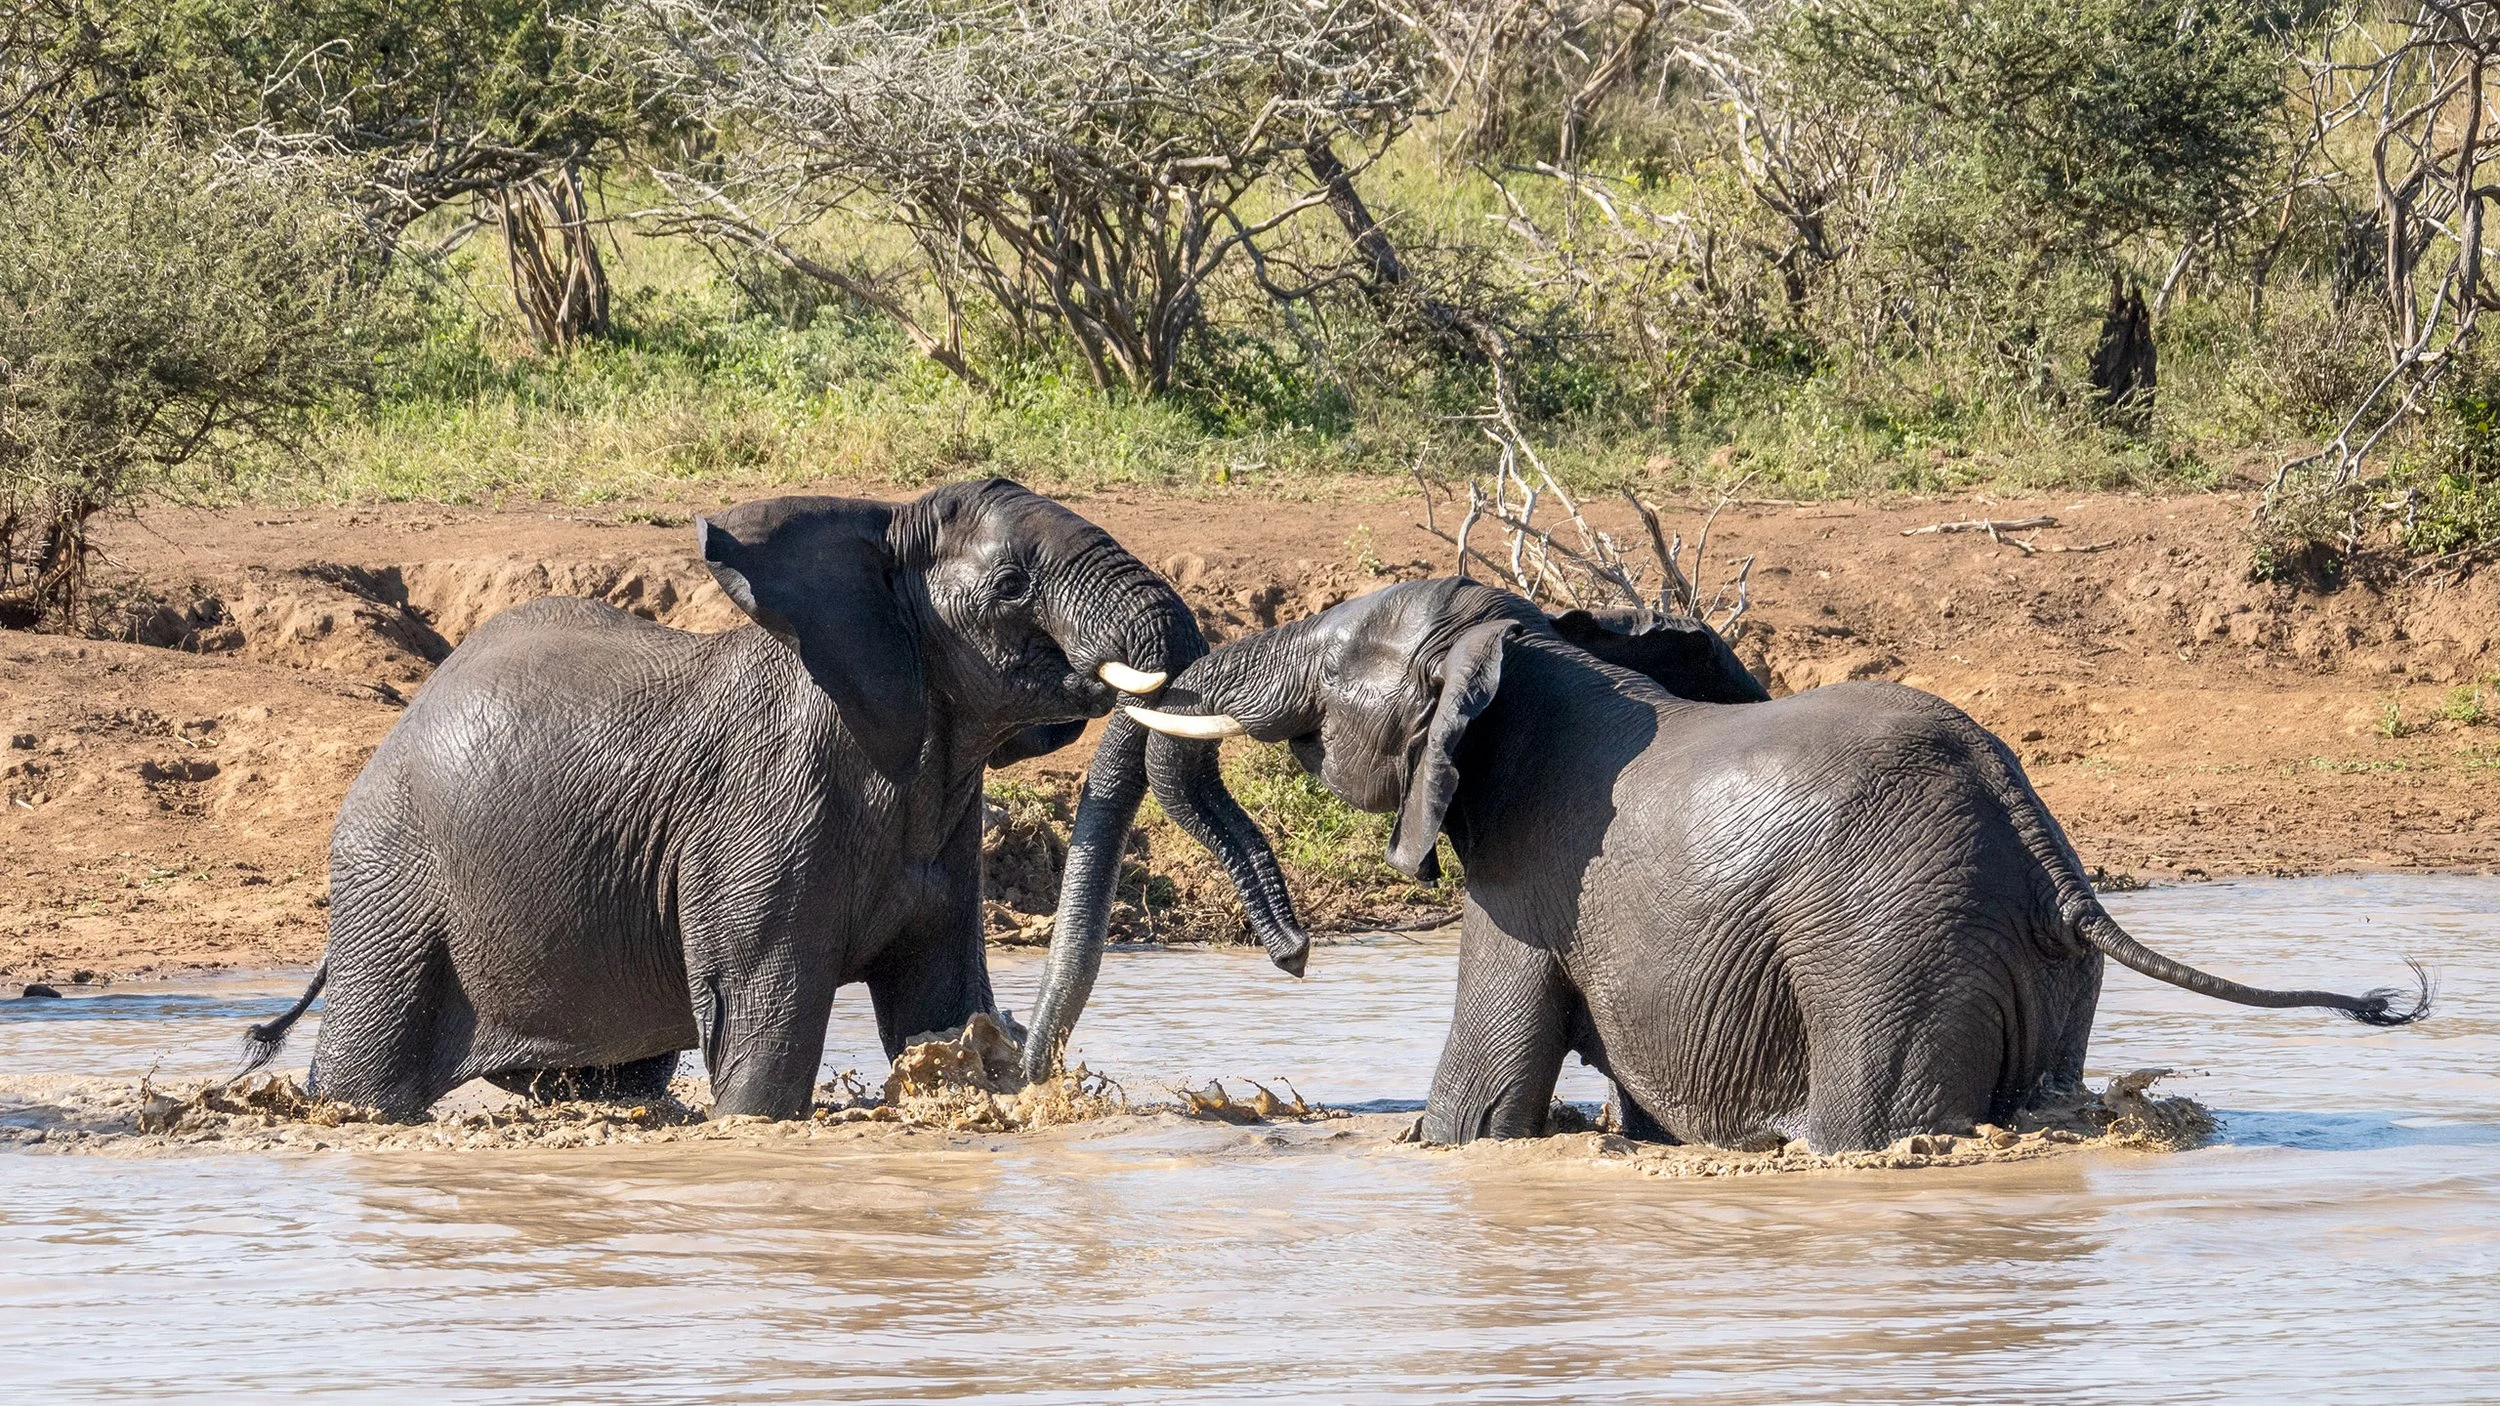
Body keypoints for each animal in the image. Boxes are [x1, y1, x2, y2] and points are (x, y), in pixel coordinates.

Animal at [239, 478, 1204, 1120]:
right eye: (1011, 587)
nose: (1032, 1057)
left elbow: (934, 1004)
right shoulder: (763, 816)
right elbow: (762, 1037)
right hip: (393, 877)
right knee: (367, 1070)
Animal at [1110, 577, 2430, 1152]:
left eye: (1331, 659)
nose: (1292, 954)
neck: (1528, 644)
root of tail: (2039, 839)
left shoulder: (1527, 877)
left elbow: (1480, 1098)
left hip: (1892, 936)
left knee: (1874, 1110)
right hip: (2032, 962)